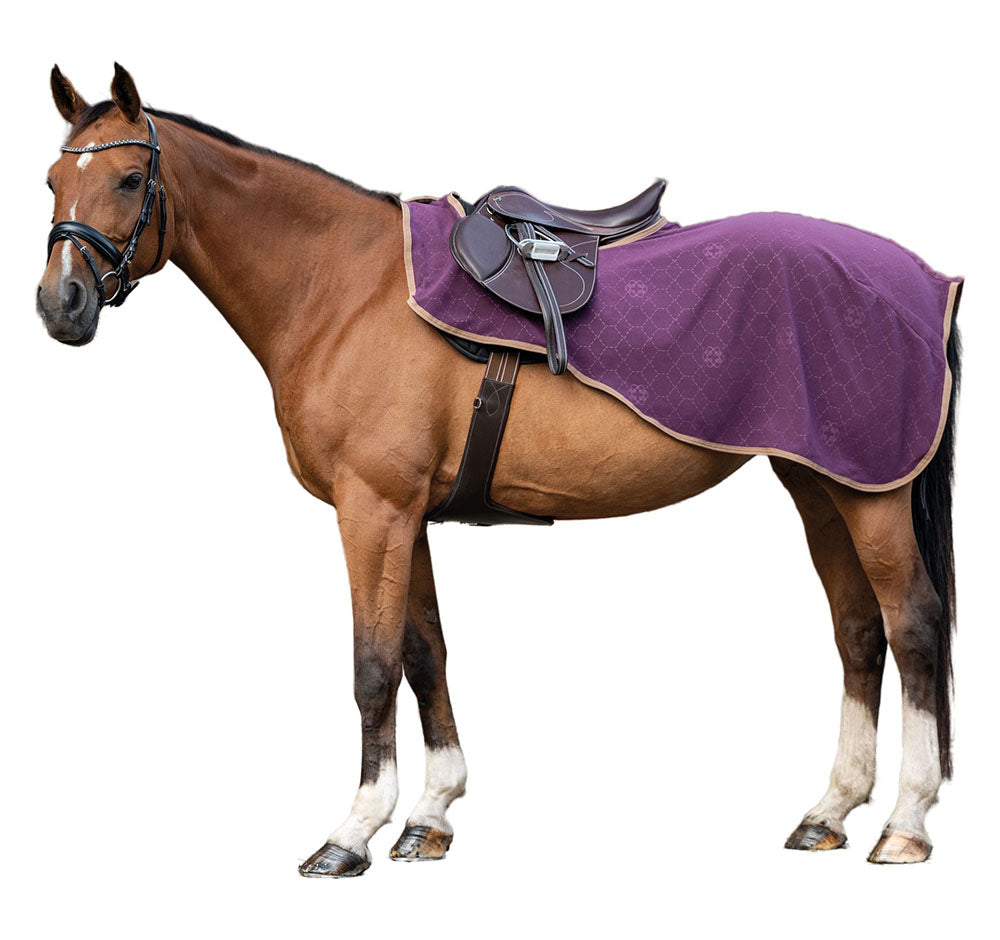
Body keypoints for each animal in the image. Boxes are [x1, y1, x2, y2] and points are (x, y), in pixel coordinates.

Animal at [36, 64, 961, 875]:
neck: (342, 285)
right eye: (50, 180)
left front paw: (352, 832)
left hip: (870, 495)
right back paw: (829, 811)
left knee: (912, 626)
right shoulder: (404, 514)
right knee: (857, 629)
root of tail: (928, 279)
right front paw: (430, 817)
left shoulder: (371, 510)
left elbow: (373, 667)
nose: (60, 305)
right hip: (823, 484)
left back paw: (905, 825)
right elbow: (425, 653)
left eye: (129, 179)